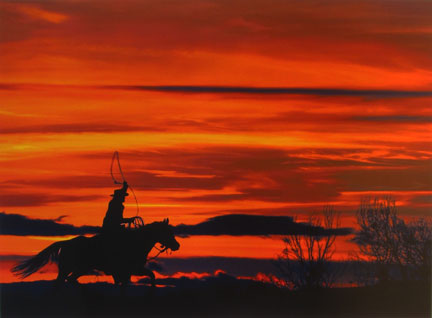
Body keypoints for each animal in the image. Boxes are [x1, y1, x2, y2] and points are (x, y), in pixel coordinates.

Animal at [12, 219, 179, 286]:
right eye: (167, 232)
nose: (177, 245)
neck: (136, 243)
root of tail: (66, 243)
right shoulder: (130, 270)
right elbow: (151, 276)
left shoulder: (126, 272)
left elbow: (148, 277)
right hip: (73, 268)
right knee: (65, 282)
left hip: (75, 269)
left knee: (66, 282)